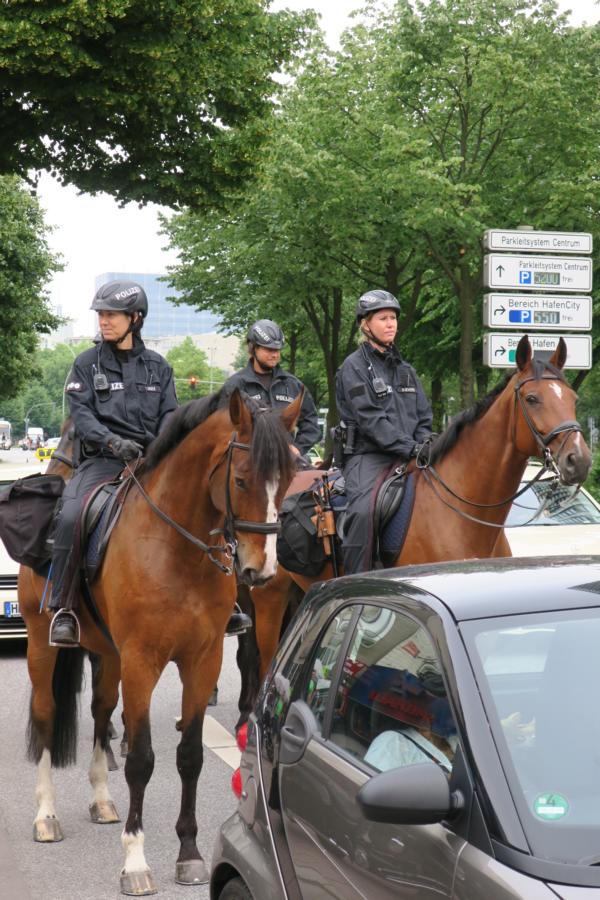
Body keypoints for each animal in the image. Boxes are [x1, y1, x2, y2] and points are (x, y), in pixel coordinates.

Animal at [19, 388, 301, 894]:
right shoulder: (142, 661)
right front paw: (135, 860)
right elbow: (142, 759)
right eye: (242, 480)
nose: (262, 570)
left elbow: (189, 755)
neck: (179, 550)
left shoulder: (202, 660)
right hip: (42, 642)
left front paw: (188, 853)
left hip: (108, 654)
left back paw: (101, 800)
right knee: (47, 714)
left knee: (101, 712)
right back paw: (46, 814)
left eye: (288, 479)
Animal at [237, 335, 592, 725]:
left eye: (572, 398)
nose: (579, 460)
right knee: (261, 657)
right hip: (268, 596)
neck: (461, 508)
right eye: (532, 399)